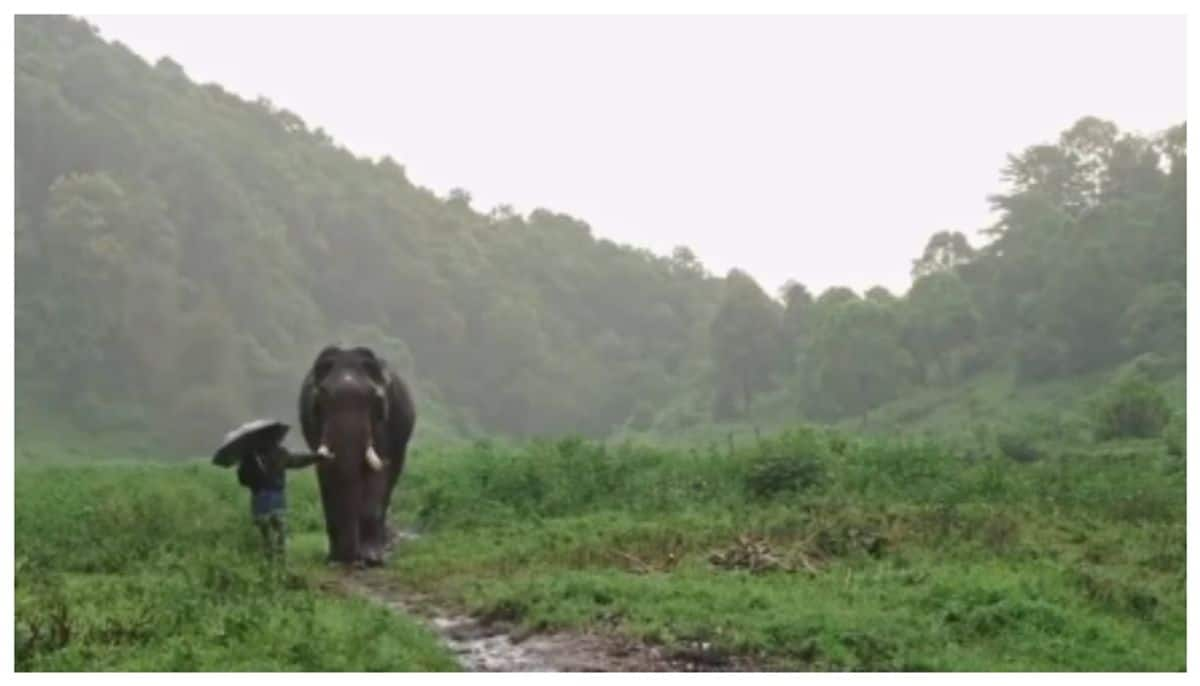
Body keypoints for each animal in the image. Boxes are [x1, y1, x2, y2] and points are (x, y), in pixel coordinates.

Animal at [297, 345, 415, 566]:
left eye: (374, 399)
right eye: (322, 398)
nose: (350, 560)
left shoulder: (384, 425)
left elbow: (378, 474)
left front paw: (371, 559)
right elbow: (327, 477)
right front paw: (334, 559)